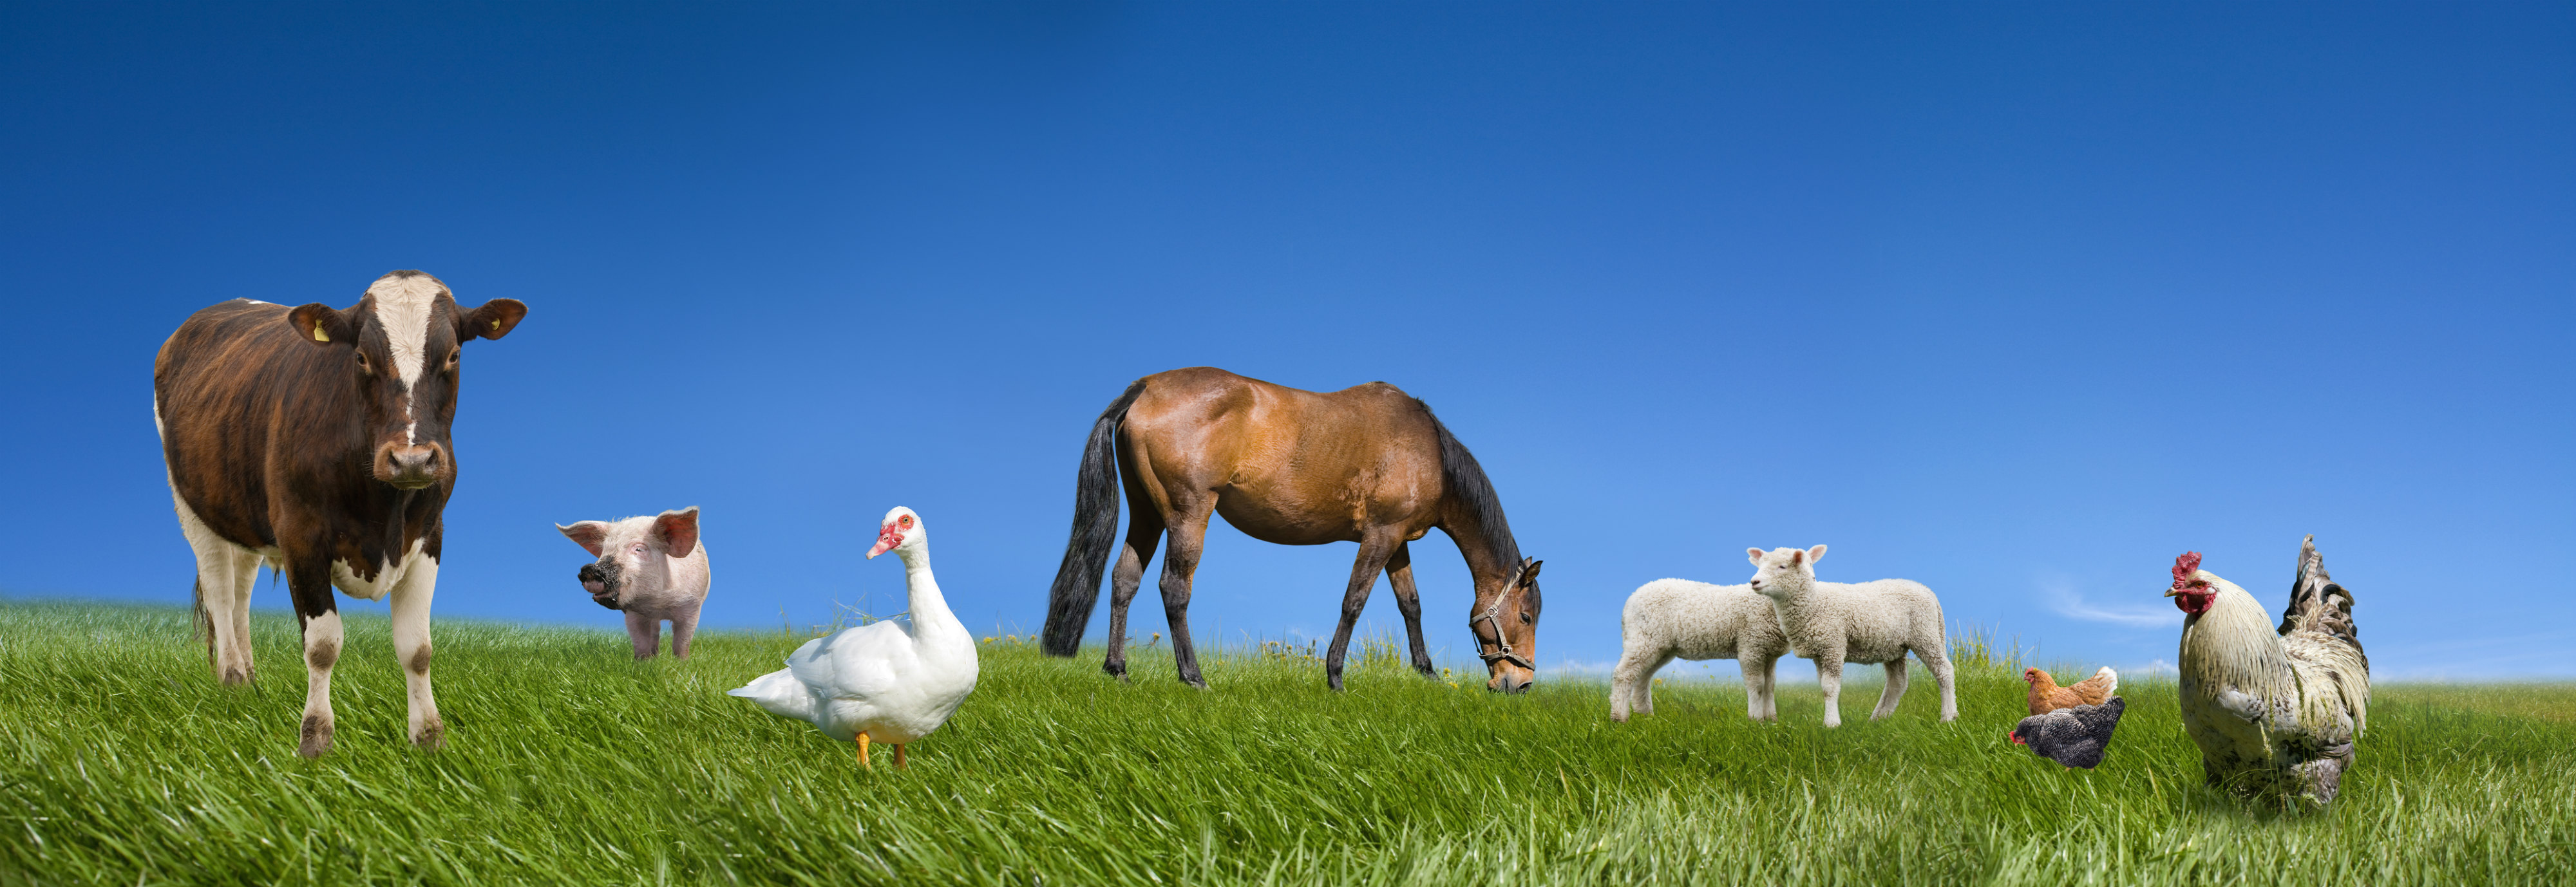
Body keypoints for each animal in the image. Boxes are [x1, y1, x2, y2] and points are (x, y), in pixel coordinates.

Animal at [153, 268, 526, 752]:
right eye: (362, 357)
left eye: (454, 355)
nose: (411, 459)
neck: (384, 509)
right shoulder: (300, 535)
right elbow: (322, 644)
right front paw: (315, 739)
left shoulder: (430, 534)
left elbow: (417, 648)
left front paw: (429, 738)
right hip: (191, 503)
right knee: (218, 587)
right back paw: (232, 677)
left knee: (241, 591)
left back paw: (250, 679)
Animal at [554, 505, 711, 657]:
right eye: (604, 550)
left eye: (639, 549)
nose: (590, 569)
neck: (658, 603)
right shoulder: (633, 612)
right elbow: (640, 645)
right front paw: (644, 663)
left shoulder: (692, 606)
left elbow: (682, 645)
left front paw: (682, 663)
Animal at [1036, 366, 1535, 691]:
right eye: (1528, 616)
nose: (1521, 683)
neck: (1428, 449)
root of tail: (1146, 387)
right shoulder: (1380, 536)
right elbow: (1354, 602)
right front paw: (1335, 676)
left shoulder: (1396, 542)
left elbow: (1410, 604)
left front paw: (1426, 672)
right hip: (1187, 515)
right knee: (1173, 588)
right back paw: (1193, 677)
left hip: (1147, 516)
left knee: (1125, 580)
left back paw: (1117, 669)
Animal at [1607, 583, 1793, 722]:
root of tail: (1632, 599)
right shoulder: (1751, 648)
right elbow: (1757, 685)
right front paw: (1756, 719)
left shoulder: (1769, 653)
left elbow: (1770, 686)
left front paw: (1771, 719)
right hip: (1644, 638)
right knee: (1624, 674)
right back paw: (1620, 718)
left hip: (1660, 647)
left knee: (1643, 677)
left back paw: (1645, 714)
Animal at [1741, 546, 1958, 727]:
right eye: (1760, 565)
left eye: (1782, 566)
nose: (1754, 582)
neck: (1814, 602)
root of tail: (1928, 592)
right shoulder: (1820, 651)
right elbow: (1823, 687)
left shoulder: (1834, 646)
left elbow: (1830, 688)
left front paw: (1831, 724)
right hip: (1895, 645)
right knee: (1898, 682)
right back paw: (1878, 719)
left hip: (1924, 633)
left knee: (1944, 670)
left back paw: (1948, 717)